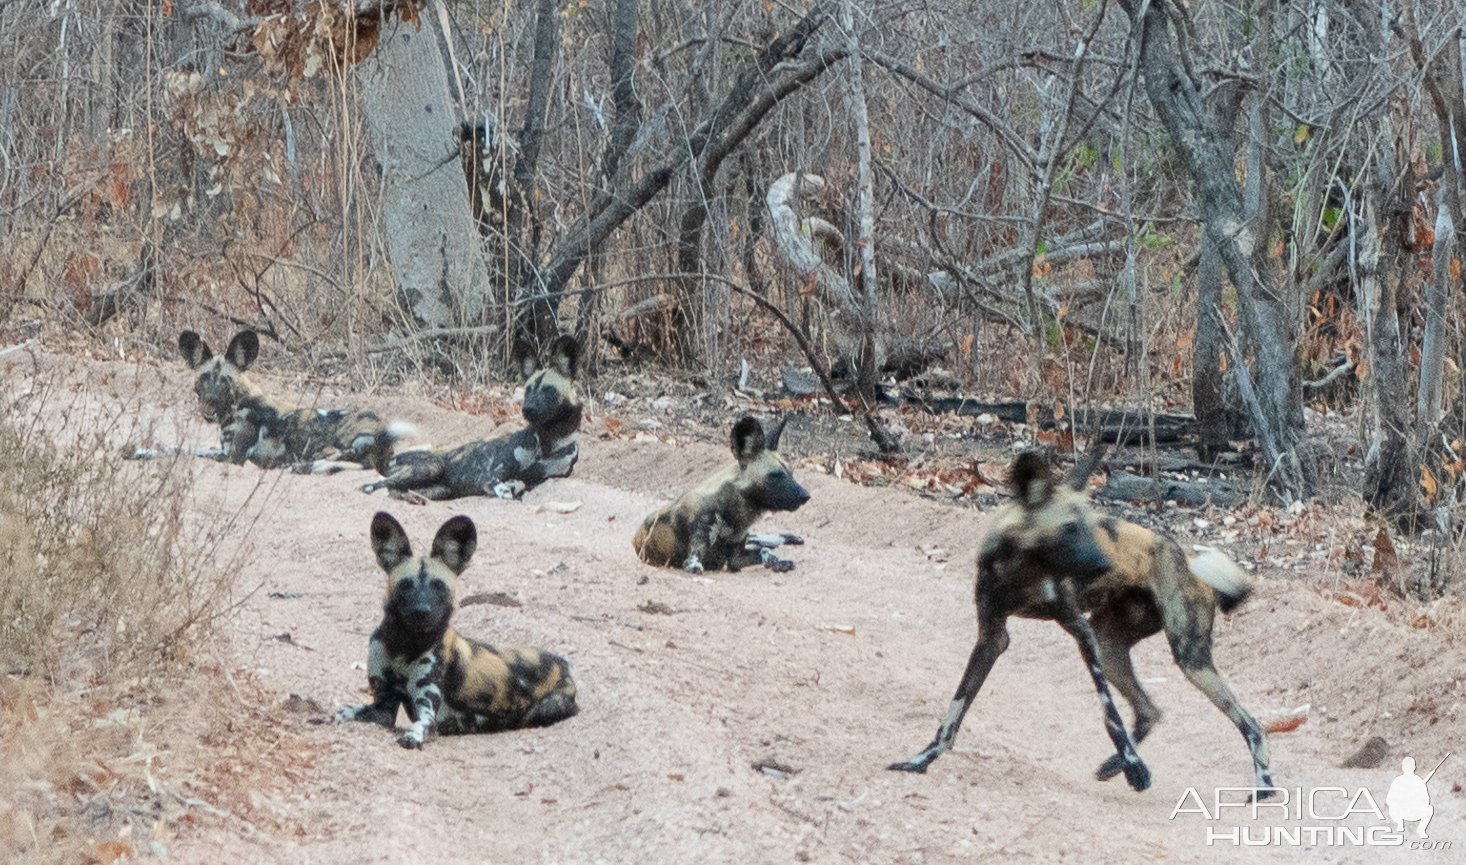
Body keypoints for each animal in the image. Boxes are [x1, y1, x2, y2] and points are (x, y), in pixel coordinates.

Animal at [132, 328, 410, 475]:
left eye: (225, 382)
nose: (209, 405)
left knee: (347, 461)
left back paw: (302, 466)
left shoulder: (232, 457)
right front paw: (138, 449)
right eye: (204, 378)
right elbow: (174, 447)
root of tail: (385, 433)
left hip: (336, 441)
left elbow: (185, 452)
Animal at [335, 513, 577, 750]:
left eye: (438, 586)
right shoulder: (382, 707)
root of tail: (563, 664)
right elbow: (345, 712)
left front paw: (412, 736)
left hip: (545, 708)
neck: (404, 645)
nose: (421, 611)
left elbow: (420, 724)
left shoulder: (427, 712)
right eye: (406, 585)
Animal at [360, 337, 583, 504]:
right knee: (376, 485)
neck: (549, 439)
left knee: (397, 491)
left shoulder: (543, 477)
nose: (527, 409)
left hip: (440, 489)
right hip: (430, 466)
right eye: (528, 390)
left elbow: (521, 484)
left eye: (548, 390)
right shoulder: (488, 476)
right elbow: (502, 486)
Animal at [633, 416, 809, 577]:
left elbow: (764, 552)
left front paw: (778, 561)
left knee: (757, 540)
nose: (806, 496)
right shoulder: (700, 559)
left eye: (791, 474)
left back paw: (789, 538)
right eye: (776, 475)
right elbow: (695, 564)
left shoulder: (736, 557)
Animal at [885, 454, 1278, 797]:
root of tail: (1188, 562)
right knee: (1149, 710)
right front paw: (920, 761)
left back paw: (1263, 790)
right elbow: (954, 711)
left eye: (1092, 525)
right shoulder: (992, 637)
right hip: (1110, 648)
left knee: (1252, 724)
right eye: (1070, 528)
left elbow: (1110, 715)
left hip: (1188, 659)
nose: (1105, 562)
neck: (1022, 571)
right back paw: (1112, 766)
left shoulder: (1079, 630)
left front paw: (1135, 768)